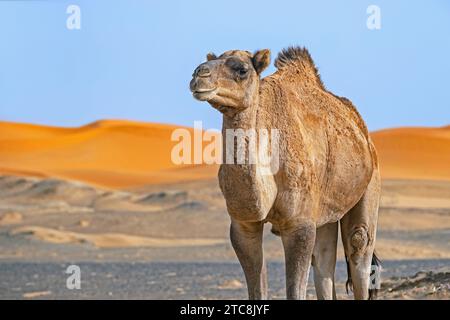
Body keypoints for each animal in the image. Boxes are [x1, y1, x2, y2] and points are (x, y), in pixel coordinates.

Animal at [189, 47, 380, 300]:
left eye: (242, 69)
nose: (199, 74)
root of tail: (364, 133)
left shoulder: (299, 224)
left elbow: (295, 290)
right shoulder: (243, 225)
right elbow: (257, 290)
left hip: (370, 181)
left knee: (359, 243)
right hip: (324, 212)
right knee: (323, 258)